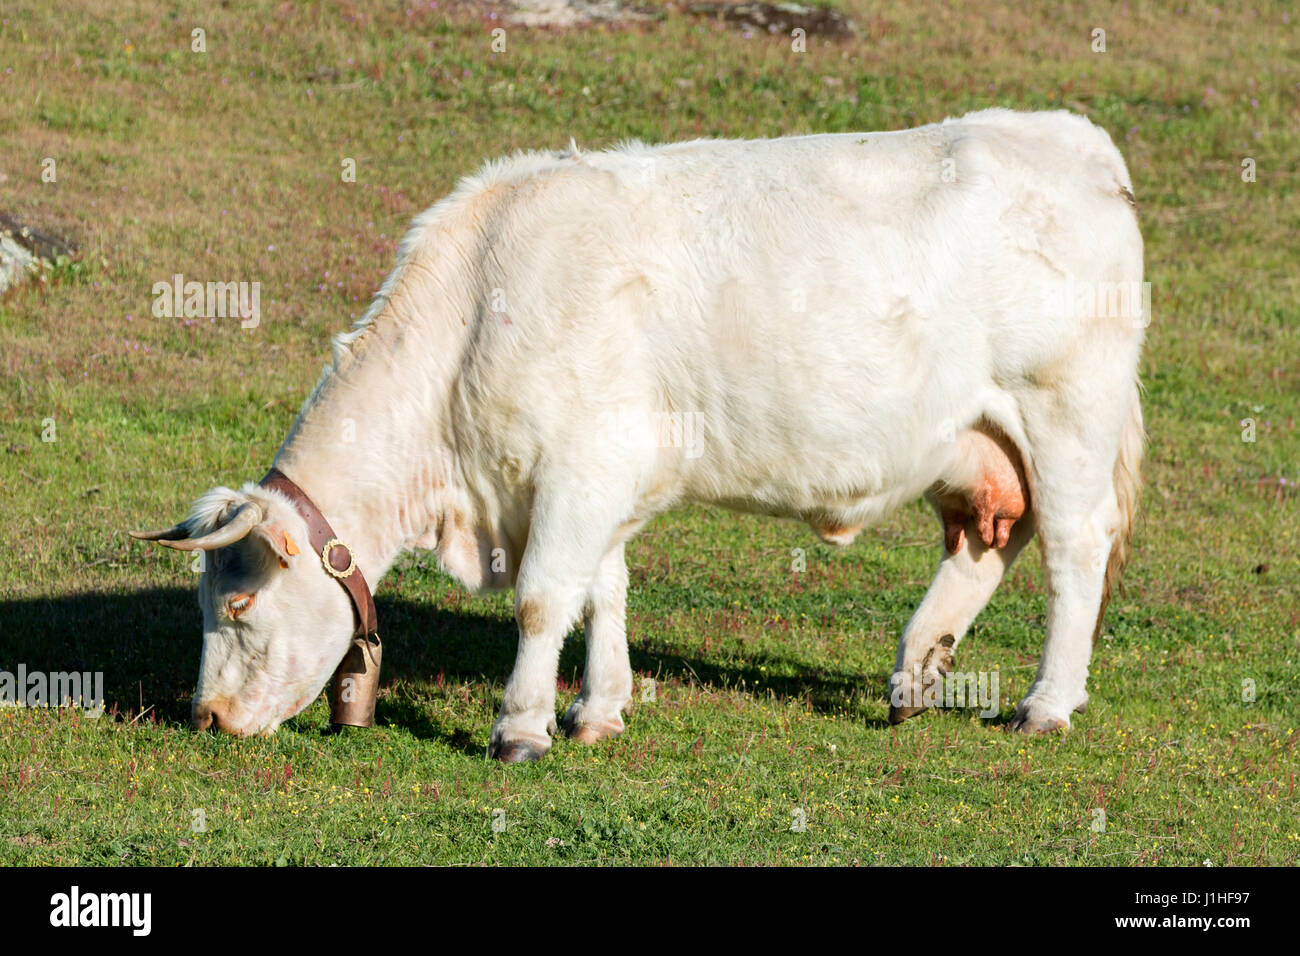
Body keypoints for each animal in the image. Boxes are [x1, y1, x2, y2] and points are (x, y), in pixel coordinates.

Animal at [134, 108, 1145, 761]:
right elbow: (602, 592)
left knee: (1073, 550)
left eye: (237, 605)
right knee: (986, 544)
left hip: (1065, 411)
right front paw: (599, 710)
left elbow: (544, 599)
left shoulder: (579, 468)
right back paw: (917, 675)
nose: (205, 717)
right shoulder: (598, 476)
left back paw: (1045, 704)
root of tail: (1073, 138)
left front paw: (522, 728)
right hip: (982, 441)